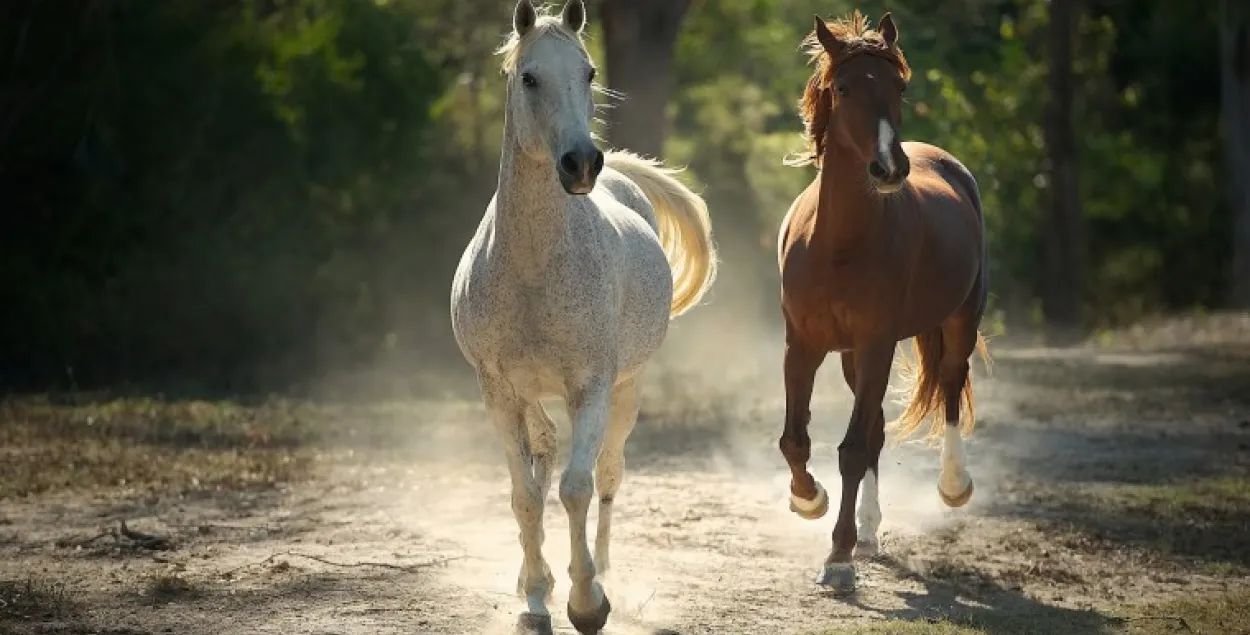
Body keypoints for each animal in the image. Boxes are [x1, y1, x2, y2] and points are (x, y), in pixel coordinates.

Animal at [452, 2, 720, 632]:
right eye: (528, 78)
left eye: (589, 72)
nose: (580, 163)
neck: (532, 269)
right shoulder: (498, 392)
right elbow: (525, 494)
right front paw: (535, 599)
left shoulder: (592, 387)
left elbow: (575, 488)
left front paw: (586, 600)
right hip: (531, 395)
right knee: (544, 453)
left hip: (628, 389)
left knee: (607, 475)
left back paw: (604, 576)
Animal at [775, 11, 990, 595]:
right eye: (844, 88)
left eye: (900, 86)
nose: (889, 168)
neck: (838, 244)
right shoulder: (803, 346)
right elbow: (796, 440)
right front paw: (809, 499)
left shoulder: (876, 344)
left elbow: (849, 451)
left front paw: (838, 557)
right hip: (852, 357)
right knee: (874, 430)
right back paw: (869, 531)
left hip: (959, 320)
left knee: (950, 385)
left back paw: (954, 485)